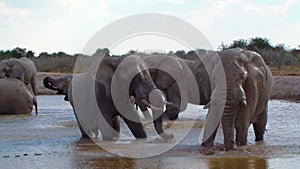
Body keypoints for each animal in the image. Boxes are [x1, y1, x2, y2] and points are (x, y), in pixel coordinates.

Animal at [43, 55, 172, 140]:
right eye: (134, 79)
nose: (172, 136)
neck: (116, 61)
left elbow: (135, 122)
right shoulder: (98, 94)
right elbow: (106, 129)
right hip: (75, 104)